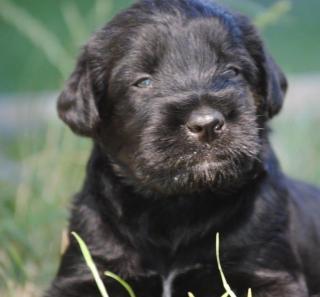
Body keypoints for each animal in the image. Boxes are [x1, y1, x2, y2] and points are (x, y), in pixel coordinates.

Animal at [46, 0, 320, 296]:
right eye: (143, 81)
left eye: (232, 70)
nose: (207, 124)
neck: (177, 206)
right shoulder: (87, 268)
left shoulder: (267, 272)